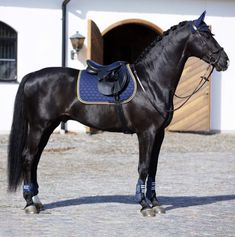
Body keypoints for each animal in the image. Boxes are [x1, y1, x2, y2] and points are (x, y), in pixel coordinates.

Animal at [7, 12, 229, 216]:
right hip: (39, 126)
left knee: (35, 159)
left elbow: (154, 168)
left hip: (49, 126)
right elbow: (144, 167)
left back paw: (37, 200)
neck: (150, 82)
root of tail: (32, 76)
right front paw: (145, 205)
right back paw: (30, 204)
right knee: (28, 158)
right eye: (206, 36)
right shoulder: (146, 133)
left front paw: (155, 203)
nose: (225, 61)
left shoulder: (159, 134)